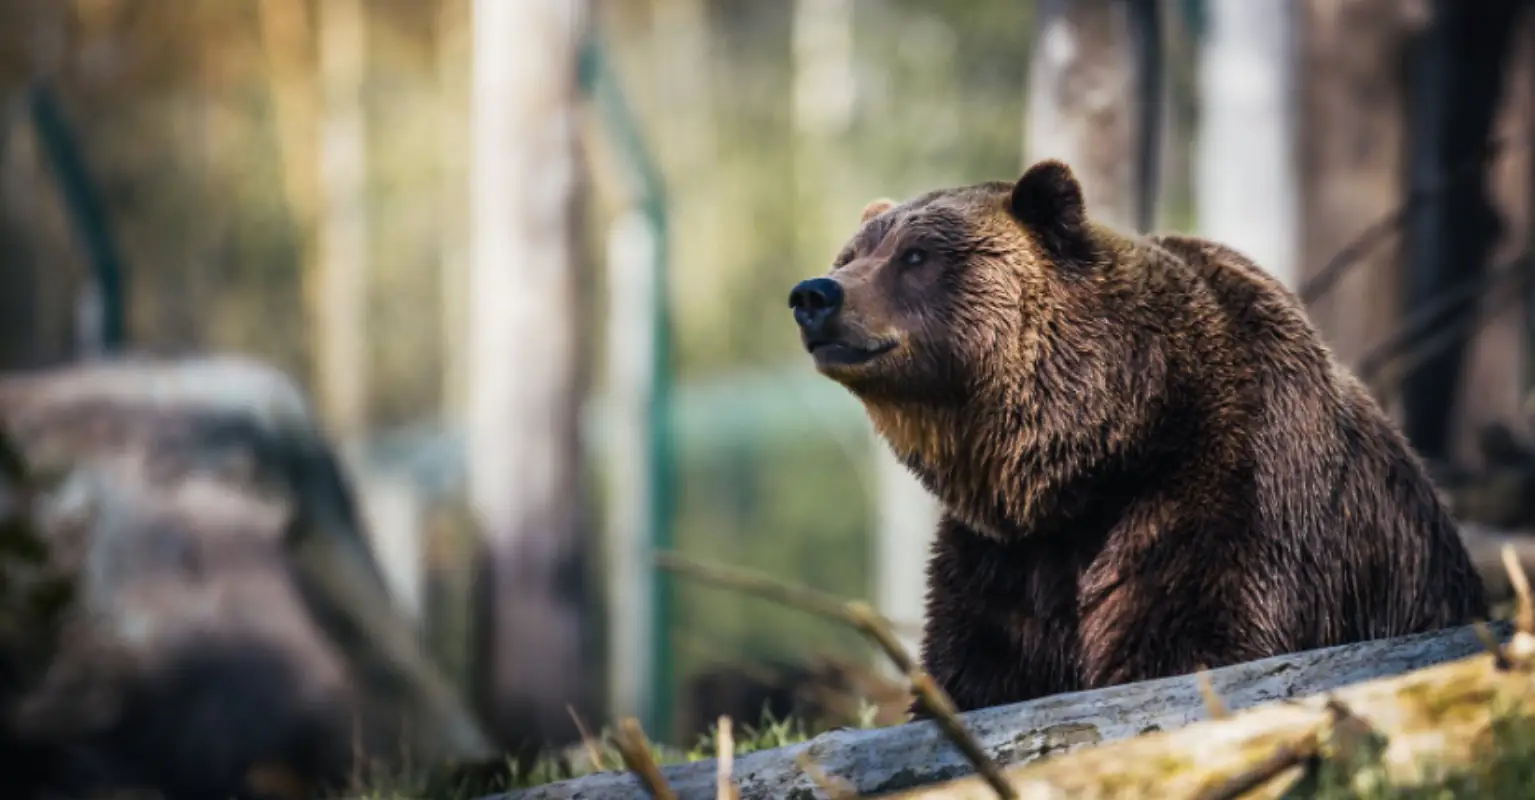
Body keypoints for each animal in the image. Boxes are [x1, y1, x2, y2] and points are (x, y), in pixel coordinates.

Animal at [786, 159, 1489, 715]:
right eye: (851, 255)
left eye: (916, 256)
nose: (815, 294)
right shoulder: (1004, 557)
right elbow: (978, 667)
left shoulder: (1225, 491)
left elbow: (1188, 641)